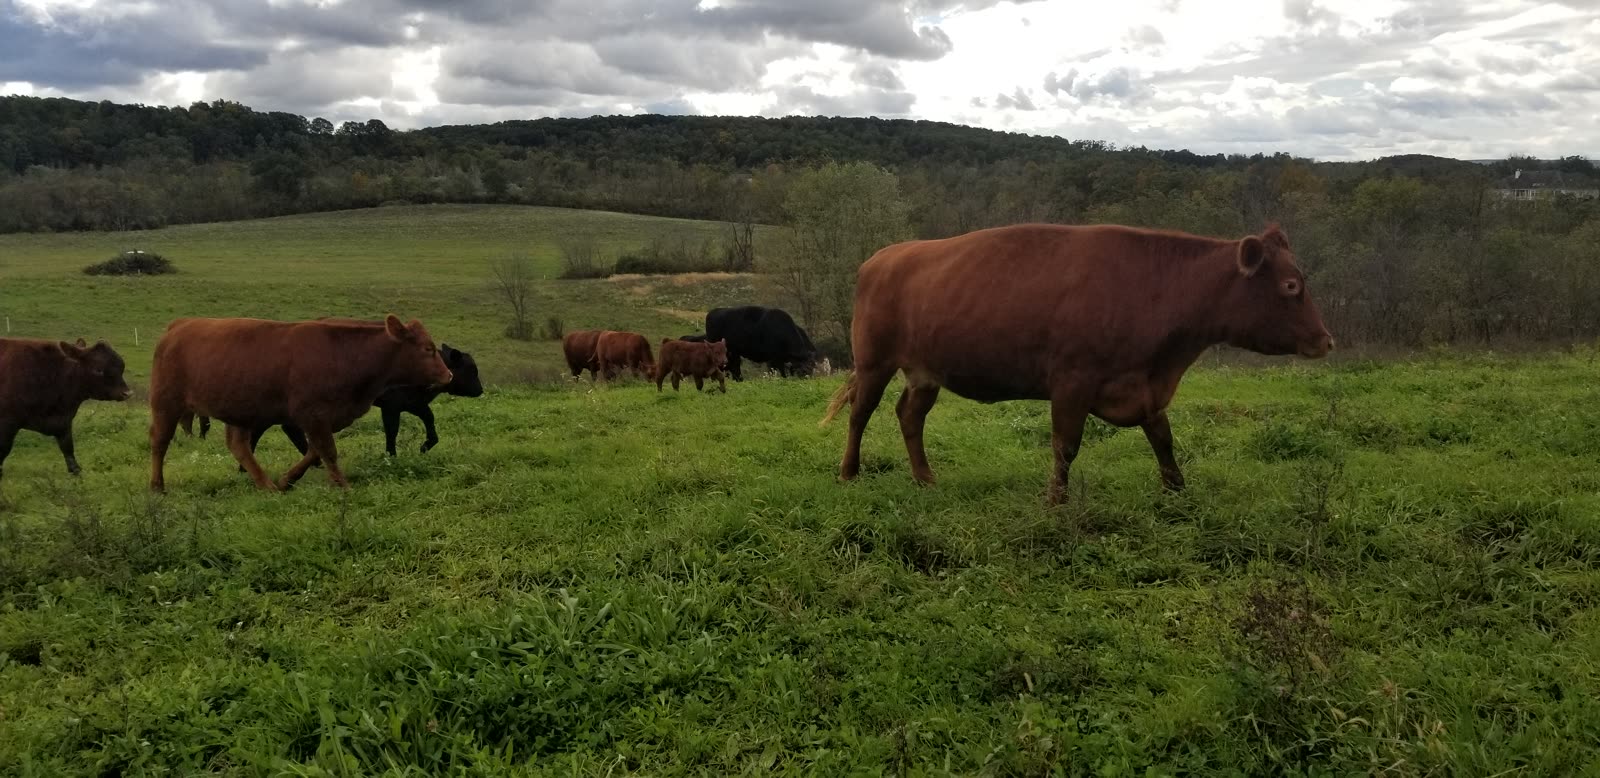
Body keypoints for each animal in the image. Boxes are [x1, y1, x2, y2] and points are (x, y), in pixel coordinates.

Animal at [0, 337, 132, 484]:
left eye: (121, 367)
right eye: (98, 370)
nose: (127, 393)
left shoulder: (63, 422)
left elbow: (68, 449)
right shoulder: (7, 423)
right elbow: (3, 450)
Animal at [147, 315, 452, 492]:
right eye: (428, 349)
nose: (448, 375)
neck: (345, 354)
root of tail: (178, 326)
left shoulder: (322, 418)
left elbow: (314, 452)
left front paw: (287, 479)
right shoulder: (313, 415)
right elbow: (327, 451)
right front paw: (343, 486)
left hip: (240, 411)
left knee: (239, 446)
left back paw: (267, 485)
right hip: (166, 404)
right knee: (159, 443)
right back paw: (157, 485)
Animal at [193, 342, 485, 461]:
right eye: (471, 369)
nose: (480, 391)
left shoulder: (413, 403)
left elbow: (430, 421)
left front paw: (426, 445)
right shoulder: (392, 406)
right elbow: (392, 431)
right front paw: (391, 455)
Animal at [819, 223, 1334, 505]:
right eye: (1291, 285)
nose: (1326, 340)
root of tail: (884, 256)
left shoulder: (1143, 387)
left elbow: (1164, 440)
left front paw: (1177, 492)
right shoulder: (1072, 382)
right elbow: (1065, 447)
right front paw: (1055, 502)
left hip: (926, 373)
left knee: (909, 416)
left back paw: (925, 479)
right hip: (874, 362)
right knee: (860, 414)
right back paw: (848, 474)